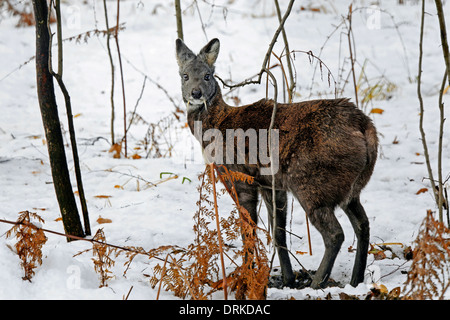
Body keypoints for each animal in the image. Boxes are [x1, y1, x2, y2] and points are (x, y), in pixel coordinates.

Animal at [176, 38, 376, 290]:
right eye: (184, 75)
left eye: (207, 75)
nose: (196, 93)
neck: (218, 126)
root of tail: (365, 127)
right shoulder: (271, 184)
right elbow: (278, 233)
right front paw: (287, 279)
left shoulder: (240, 177)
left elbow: (248, 230)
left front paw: (245, 277)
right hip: (349, 188)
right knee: (363, 224)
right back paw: (355, 280)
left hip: (311, 183)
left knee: (335, 234)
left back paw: (317, 283)